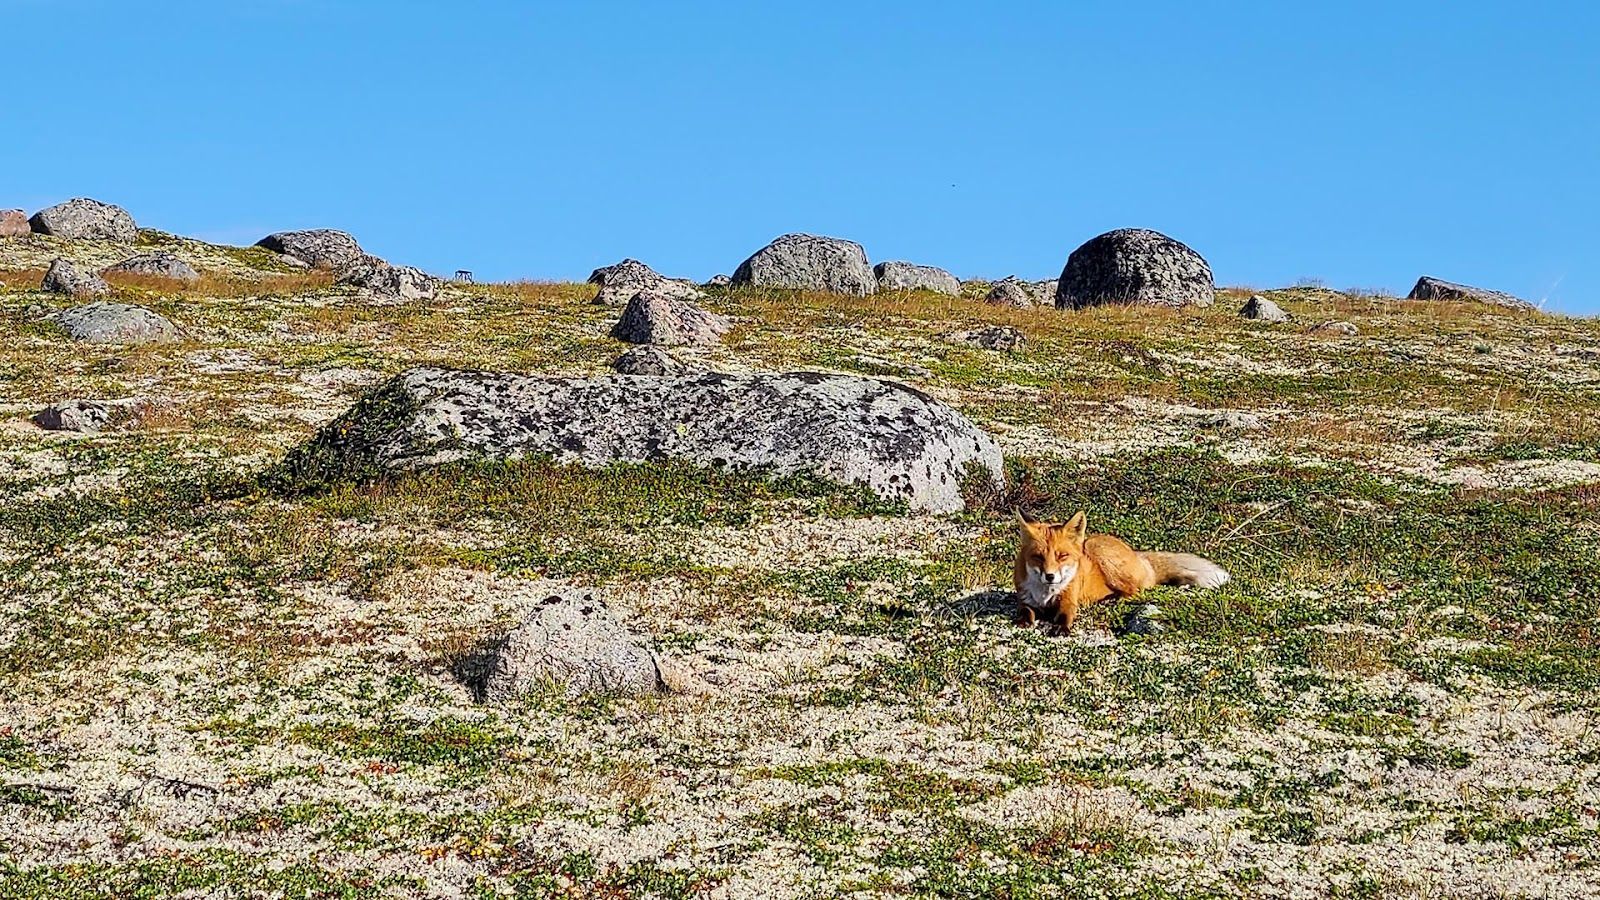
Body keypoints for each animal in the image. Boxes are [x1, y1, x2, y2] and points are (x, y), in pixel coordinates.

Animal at [1013, 510, 1230, 633]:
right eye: (1038, 557)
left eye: (1062, 556)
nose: (1050, 576)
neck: (1045, 594)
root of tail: (1138, 556)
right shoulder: (1024, 598)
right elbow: (1025, 611)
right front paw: (1024, 621)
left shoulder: (1069, 598)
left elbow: (1066, 614)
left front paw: (1062, 627)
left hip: (1096, 548)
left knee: (1134, 591)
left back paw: (1110, 600)